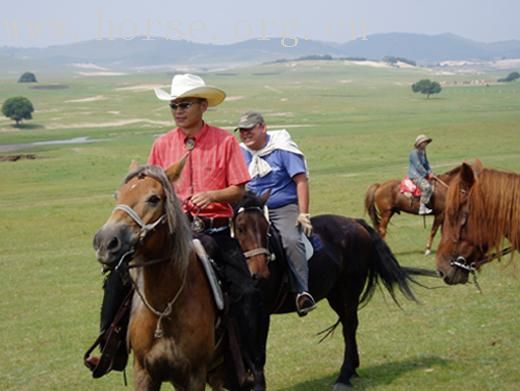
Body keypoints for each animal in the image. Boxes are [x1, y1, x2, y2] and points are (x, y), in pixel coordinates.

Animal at [92, 162, 233, 391]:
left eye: (153, 199)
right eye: (117, 195)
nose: (105, 242)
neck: (164, 310)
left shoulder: (195, 375)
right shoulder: (144, 373)